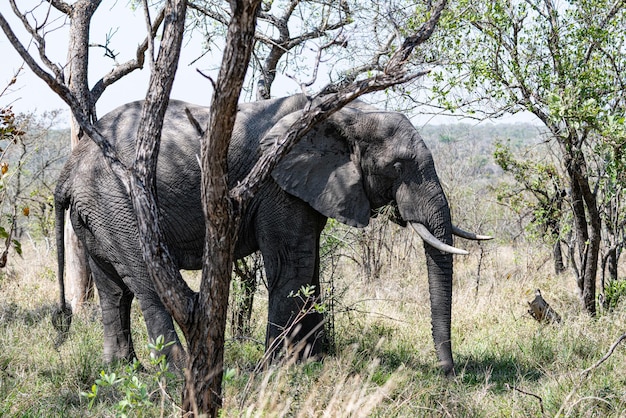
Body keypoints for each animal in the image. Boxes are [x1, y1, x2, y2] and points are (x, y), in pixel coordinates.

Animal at [53, 93, 490, 374]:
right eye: (398, 167)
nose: (448, 371)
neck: (347, 113)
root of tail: (67, 170)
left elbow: (309, 269)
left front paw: (311, 362)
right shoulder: (277, 184)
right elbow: (291, 265)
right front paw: (277, 368)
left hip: (97, 211)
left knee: (113, 288)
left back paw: (124, 370)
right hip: (118, 199)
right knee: (145, 281)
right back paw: (177, 371)